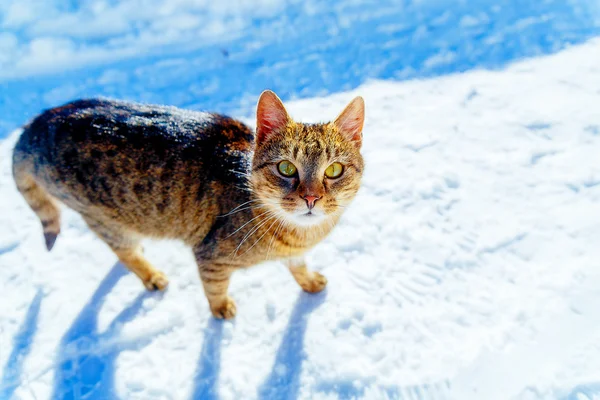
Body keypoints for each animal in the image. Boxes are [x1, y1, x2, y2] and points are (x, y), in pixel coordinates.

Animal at [11, 90, 364, 318]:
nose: (311, 197)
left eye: (334, 170)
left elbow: (299, 266)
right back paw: (151, 275)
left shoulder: (295, 253)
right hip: (103, 218)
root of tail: (34, 124)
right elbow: (215, 288)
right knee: (125, 253)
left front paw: (309, 281)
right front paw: (221, 310)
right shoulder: (210, 255)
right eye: (286, 168)